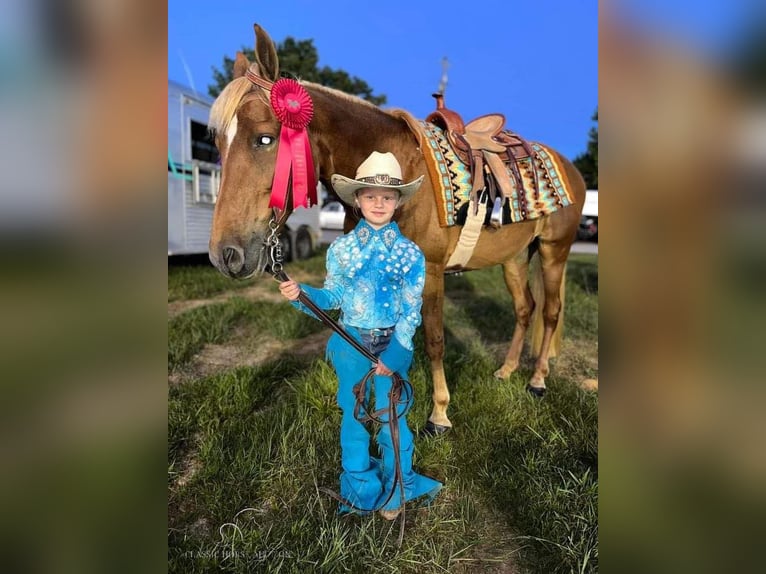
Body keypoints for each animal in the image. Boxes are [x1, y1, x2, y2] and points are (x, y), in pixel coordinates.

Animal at [207, 24, 584, 434]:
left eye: (265, 138)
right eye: (218, 142)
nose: (226, 255)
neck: (393, 170)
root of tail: (570, 168)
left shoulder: (431, 271)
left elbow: (433, 340)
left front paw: (439, 414)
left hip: (554, 251)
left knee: (550, 312)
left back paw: (537, 380)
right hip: (514, 258)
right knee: (524, 308)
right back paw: (507, 370)